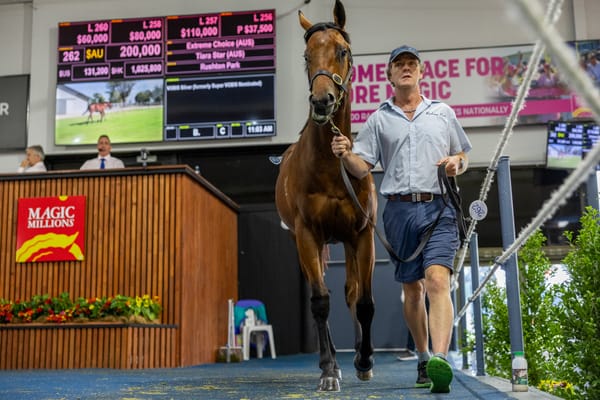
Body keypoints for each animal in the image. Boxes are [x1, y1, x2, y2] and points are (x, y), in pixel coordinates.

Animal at [276, 0, 378, 392]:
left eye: (342, 51)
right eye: (306, 55)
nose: (322, 101)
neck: (331, 166)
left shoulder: (363, 235)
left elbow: (363, 301)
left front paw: (364, 362)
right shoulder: (307, 235)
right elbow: (320, 302)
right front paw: (329, 370)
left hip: (347, 242)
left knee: (351, 291)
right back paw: (330, 361)